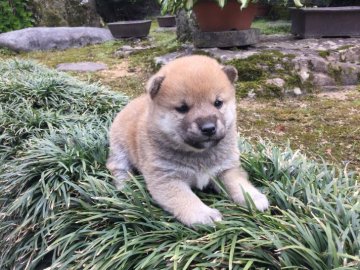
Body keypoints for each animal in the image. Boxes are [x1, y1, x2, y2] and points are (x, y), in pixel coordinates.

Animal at [108, 56, 268, 227]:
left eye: (218, 103)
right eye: (183, 108)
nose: (209, 128)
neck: (199, 154)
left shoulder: (226, 169)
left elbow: (238, 183)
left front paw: (253, 197)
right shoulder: (167, 178)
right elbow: (187, 199)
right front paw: (204, 214)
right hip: (119, 149)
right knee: (117, 167)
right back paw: (126, 184)